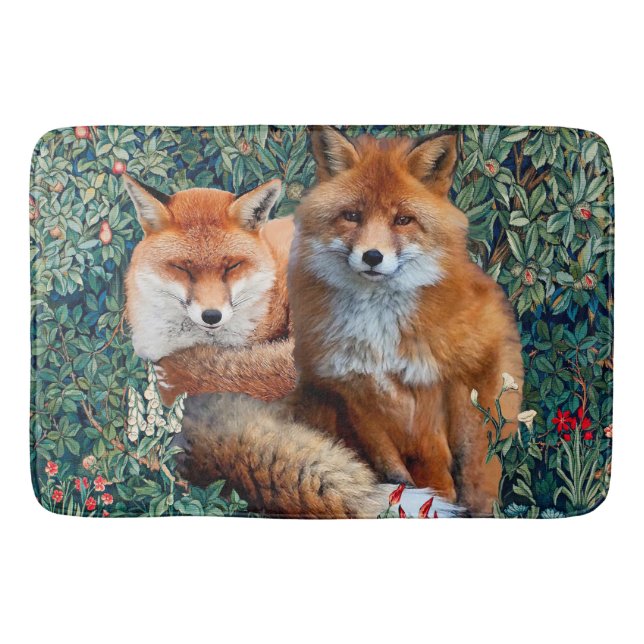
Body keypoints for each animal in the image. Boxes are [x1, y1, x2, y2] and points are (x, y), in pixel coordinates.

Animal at [283, 126, 525, 516]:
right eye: (352, 216)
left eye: (402, 220)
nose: (372, 256)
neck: (378, 331)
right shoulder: (351, 390)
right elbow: (390, 463)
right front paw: (402, 496)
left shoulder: (434, 385)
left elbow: (438, 465)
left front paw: (443, 503)